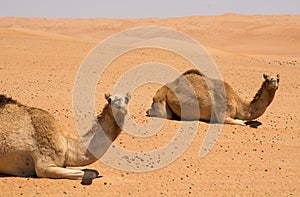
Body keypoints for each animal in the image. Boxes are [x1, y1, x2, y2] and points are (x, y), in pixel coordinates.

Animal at [0, 93, 130, 179]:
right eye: (110, 100)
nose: (120, 107)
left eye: (127, 99)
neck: (65, 141)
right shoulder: (44, 165)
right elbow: (90, 173)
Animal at [146, 69, 280, 124]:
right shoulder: (222, 113)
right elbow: (239, 122)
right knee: (164, 114)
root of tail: (159, 91)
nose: (274, 83)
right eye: (267, 79)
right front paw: (242, 121)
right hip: (161, 99)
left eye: (278, 79)